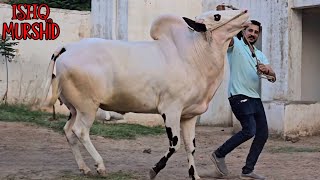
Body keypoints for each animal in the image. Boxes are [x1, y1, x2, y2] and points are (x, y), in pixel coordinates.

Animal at [41, 9, 249, 179]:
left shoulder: (189, 116)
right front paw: (153, 170)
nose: (245, 12)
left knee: (68, 131)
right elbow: (175, 145)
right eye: (217, 16)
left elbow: (191, 147)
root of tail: (69, 47)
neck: (193, 55)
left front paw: (194, 176)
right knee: (80, 131)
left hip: (74, 108)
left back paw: (84, 168)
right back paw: (100, 166)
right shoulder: (170, 110)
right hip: (87, 107)